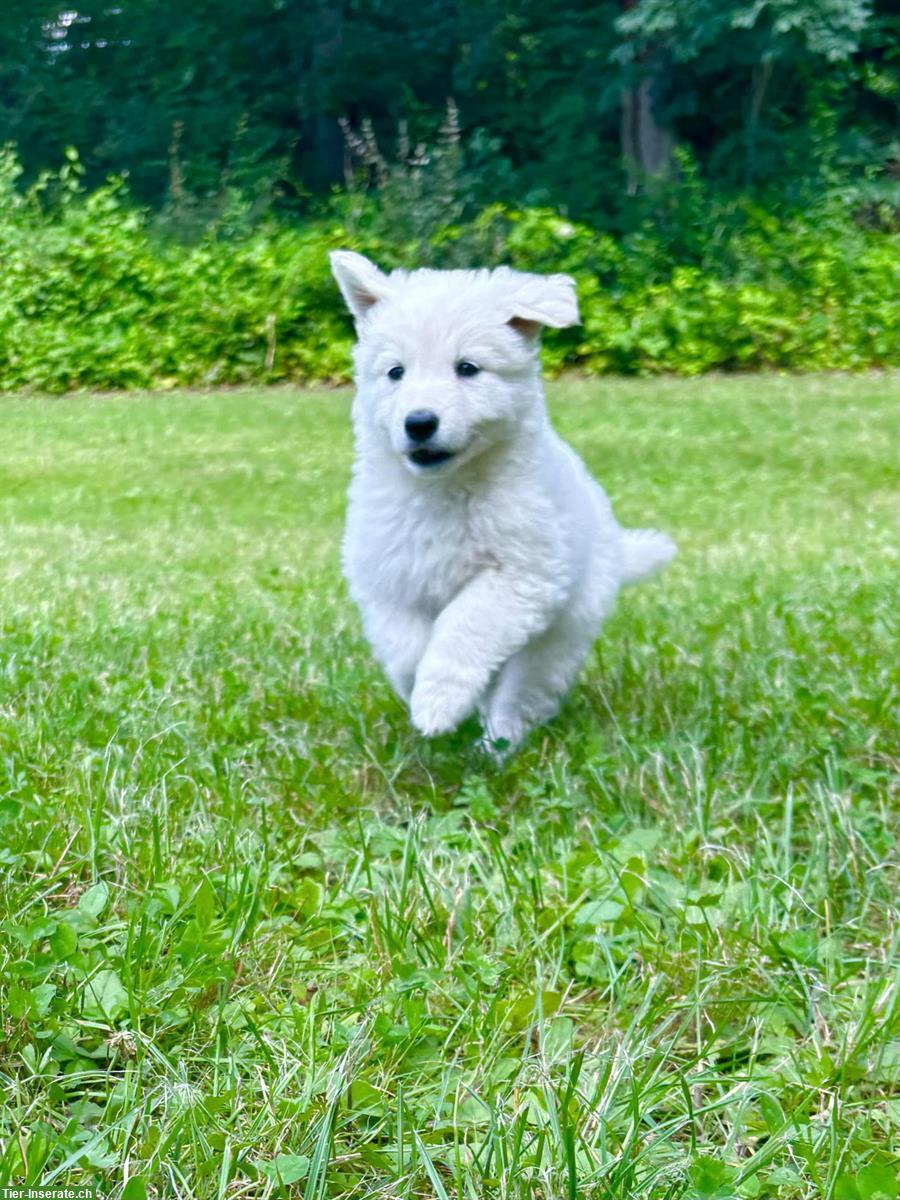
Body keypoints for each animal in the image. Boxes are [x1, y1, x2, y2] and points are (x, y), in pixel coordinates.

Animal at [331, 253, 676, 748]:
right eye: (396, 372)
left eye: (468, 368)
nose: (420, 422)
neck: (446, 488)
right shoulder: (387, 578)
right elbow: (405, 645)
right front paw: (422, 690)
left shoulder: (523, 576)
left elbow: (462, 627)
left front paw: (438, 701)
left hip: (562, 633)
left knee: (525, 690)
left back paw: (500, 740)